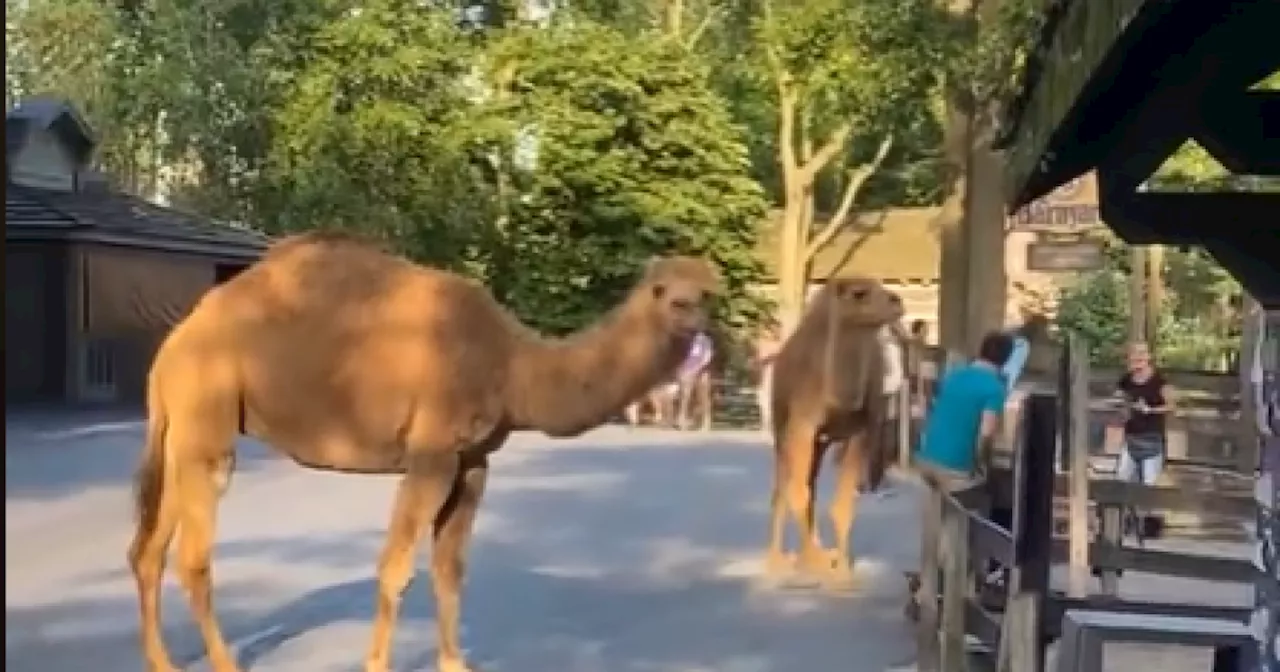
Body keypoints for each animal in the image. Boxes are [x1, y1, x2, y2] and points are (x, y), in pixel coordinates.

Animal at [127, 231, 721, 670]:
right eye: (661, 290)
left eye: (706, 291)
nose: (688, 311)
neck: (513, 365)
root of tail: (174, 344)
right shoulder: (431, 451)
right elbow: (397, 568)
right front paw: (377, 665)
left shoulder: (474, 460)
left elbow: (449, 568)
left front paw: (455, 663)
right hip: (208, 415)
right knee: (193, 557)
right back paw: (223, 663)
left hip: (181, 430)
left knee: (148, 549)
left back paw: (162, 662)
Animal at [762, 276, 906, 581]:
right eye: (859, 293)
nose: (896, 301)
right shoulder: (802, 426)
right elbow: (797, 493)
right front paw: (813, 563)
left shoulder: (860, 431)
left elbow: (842, 507)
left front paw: (841, 572)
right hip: (782, 427)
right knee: (785, 486)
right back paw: (777, 561)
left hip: (822, 441)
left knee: (811, 485)